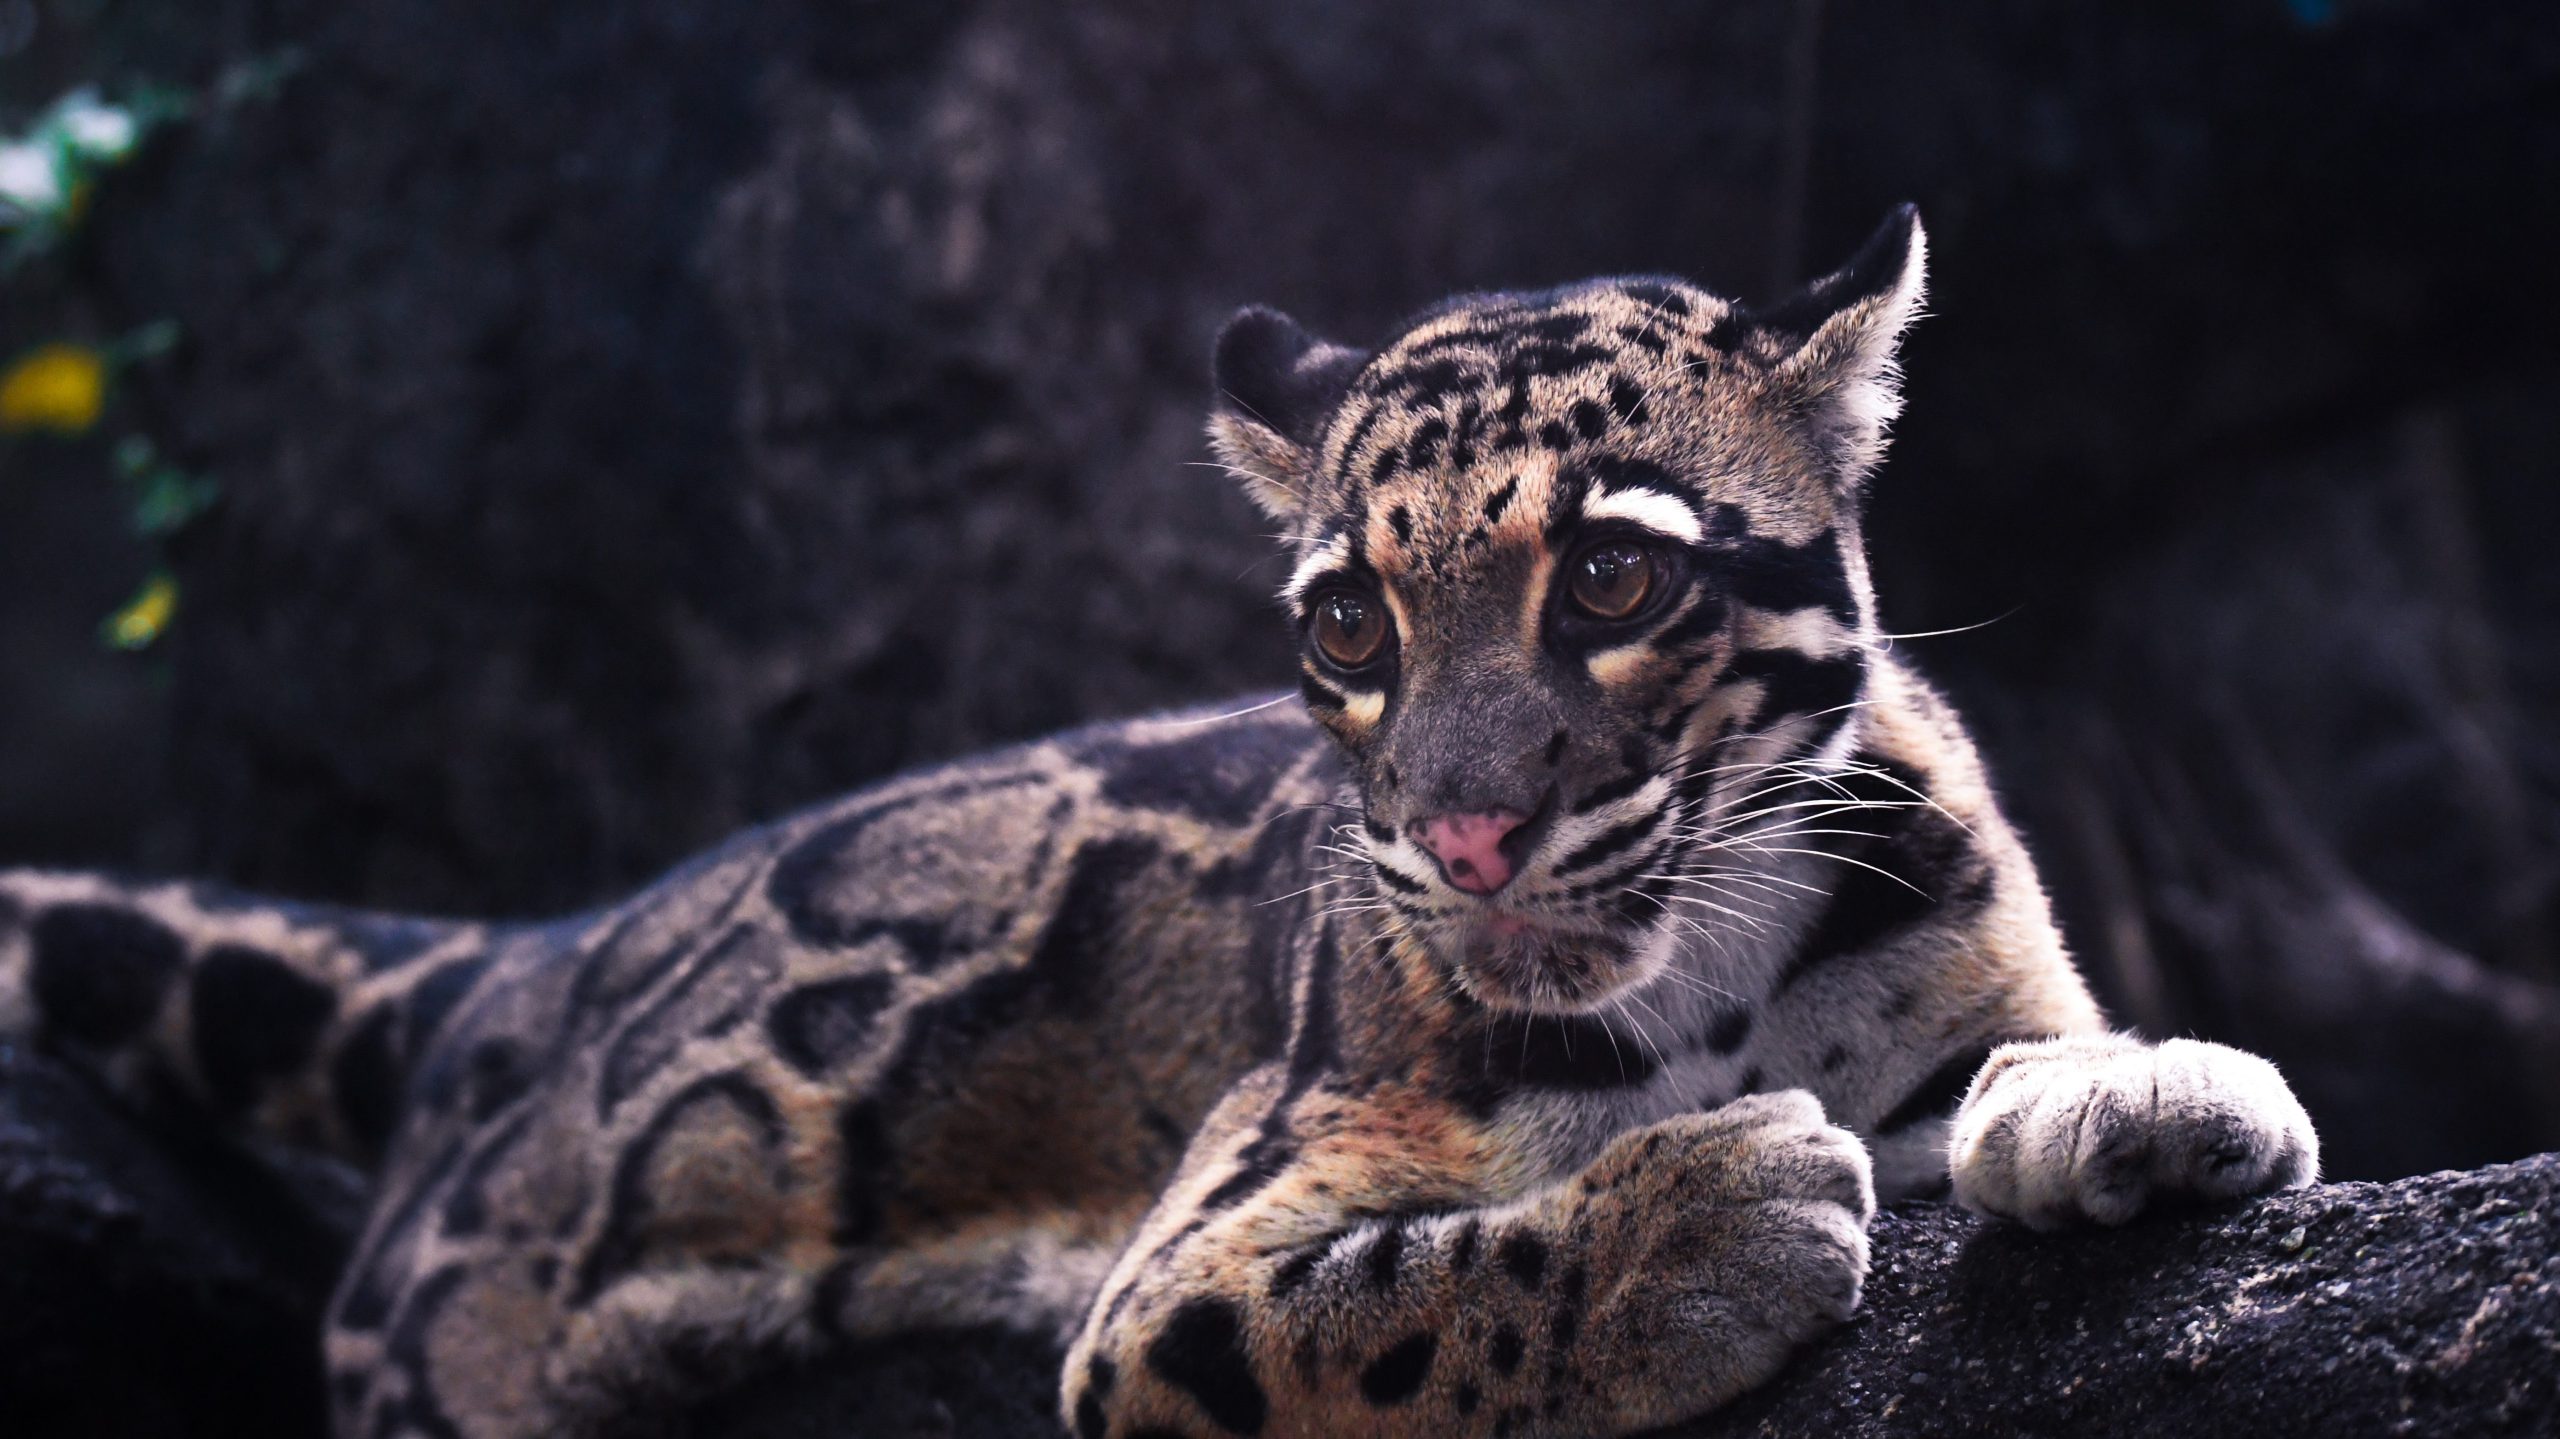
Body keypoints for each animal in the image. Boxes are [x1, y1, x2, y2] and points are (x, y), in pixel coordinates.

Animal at [0, 204, 2324, 1433]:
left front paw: (2138, 1088)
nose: (1465, 840)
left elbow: (2011, 1054)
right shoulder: (1182, 1264)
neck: (1719, 978)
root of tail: (526, 949)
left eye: (1612, 577)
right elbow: (1386, 1308)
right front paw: (1693, 1222)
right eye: (1345, 622)